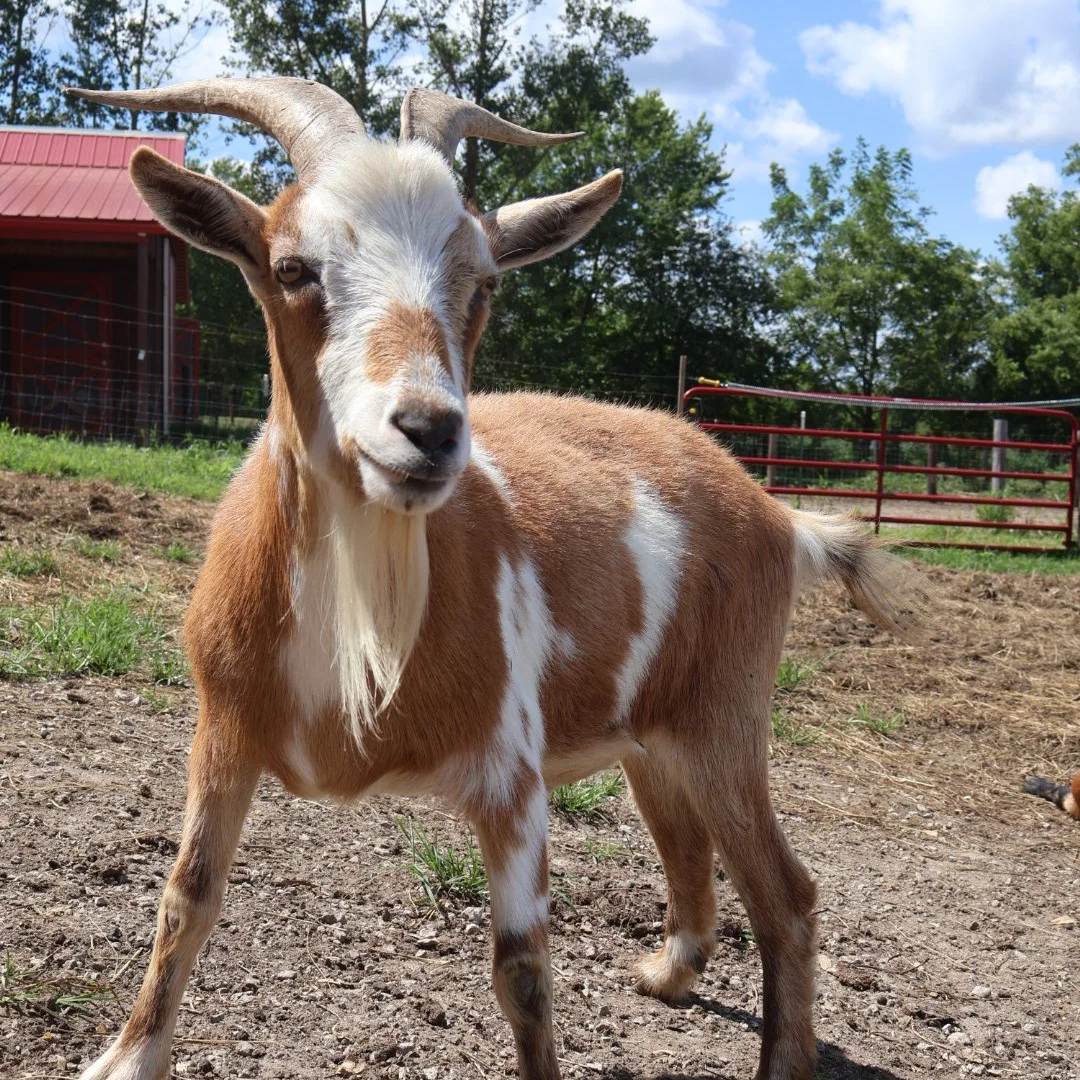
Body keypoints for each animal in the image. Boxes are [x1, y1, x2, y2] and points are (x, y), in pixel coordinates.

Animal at [63, 77, 922, 1080]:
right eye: (293, 268)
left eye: (485, 282)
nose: (429, 430)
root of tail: (775, 511)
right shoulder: (221, 730)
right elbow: (187, 894)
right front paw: (127, 1057)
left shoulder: (511, 776)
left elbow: (523, 972)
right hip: (653, 733)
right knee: (687, 843)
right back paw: (668, 973)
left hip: (728, 712)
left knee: (786, 892)